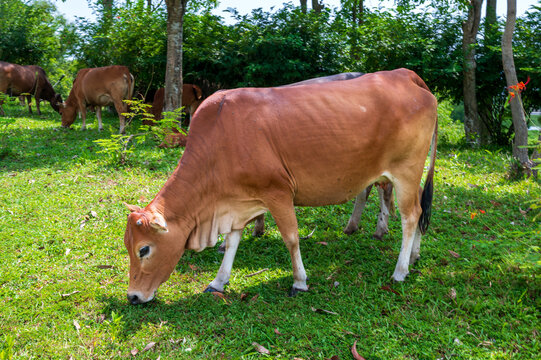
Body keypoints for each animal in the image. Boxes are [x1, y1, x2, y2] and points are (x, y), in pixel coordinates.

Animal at [121, 68, 434, 304]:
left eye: (144, 250)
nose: (133, 297)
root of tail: (405, 75)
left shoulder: (278, 193)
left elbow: (291, 238)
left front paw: (299, 281)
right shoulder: (238, 201)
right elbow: (233, 241)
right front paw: (219, 281)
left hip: (406, 171)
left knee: (409, 217)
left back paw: (400, 270)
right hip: (407, 175)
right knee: (419, 210)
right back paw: (414, 255)